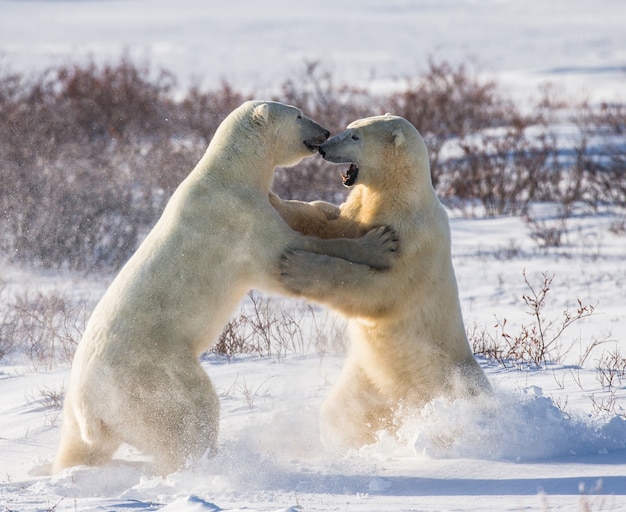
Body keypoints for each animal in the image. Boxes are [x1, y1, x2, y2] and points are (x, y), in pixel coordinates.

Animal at [52, 101, 394, 476]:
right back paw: (204, 458)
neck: (230, 174)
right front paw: (377, 243)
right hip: (150, 373)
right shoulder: (239, 217)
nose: (324, 132)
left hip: (79, 411)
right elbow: (284, 254)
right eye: (299, 115)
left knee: (80, 447)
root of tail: (89, 407)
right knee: (189, 409)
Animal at [276, 115, 490, 448]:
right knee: (342, 413)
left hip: (447, 382)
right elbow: (330, 220)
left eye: (355, 137)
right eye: (349, 127)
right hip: (368, 380)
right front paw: (276, 201)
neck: (397, 195)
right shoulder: (358, 211)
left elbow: (379, 292)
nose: (323, 148)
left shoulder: (411, 240)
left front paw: (296, 266)